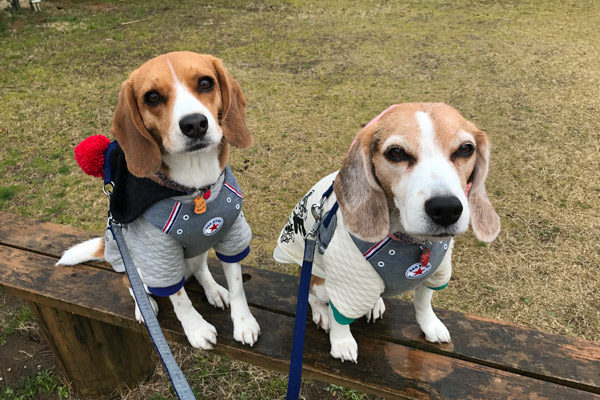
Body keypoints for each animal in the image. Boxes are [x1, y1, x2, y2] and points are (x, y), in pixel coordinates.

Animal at [56, 52, 260, 350]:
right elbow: (180, 299)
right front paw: (196, 329)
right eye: (152, 97)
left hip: (199, 252)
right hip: (136, 267)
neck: (195, 188)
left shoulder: (231, 232)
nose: (194, 124)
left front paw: (243, 323)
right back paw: (145, 308)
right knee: (132, 284)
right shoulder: (159, 255)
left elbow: (237, 285)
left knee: (200, 269)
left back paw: (212, 289)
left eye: (205, 83)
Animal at [274, 102, 500, 362]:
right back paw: (323, 313)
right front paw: (341, 343)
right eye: (396, 152)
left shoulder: (436, 270)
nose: (445, 209)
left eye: (465, 149)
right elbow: (340, 316)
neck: (410, 241)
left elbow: (423, 302)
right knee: (314, 296)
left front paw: (430, 326)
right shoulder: (348, 281)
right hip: (319, 279)